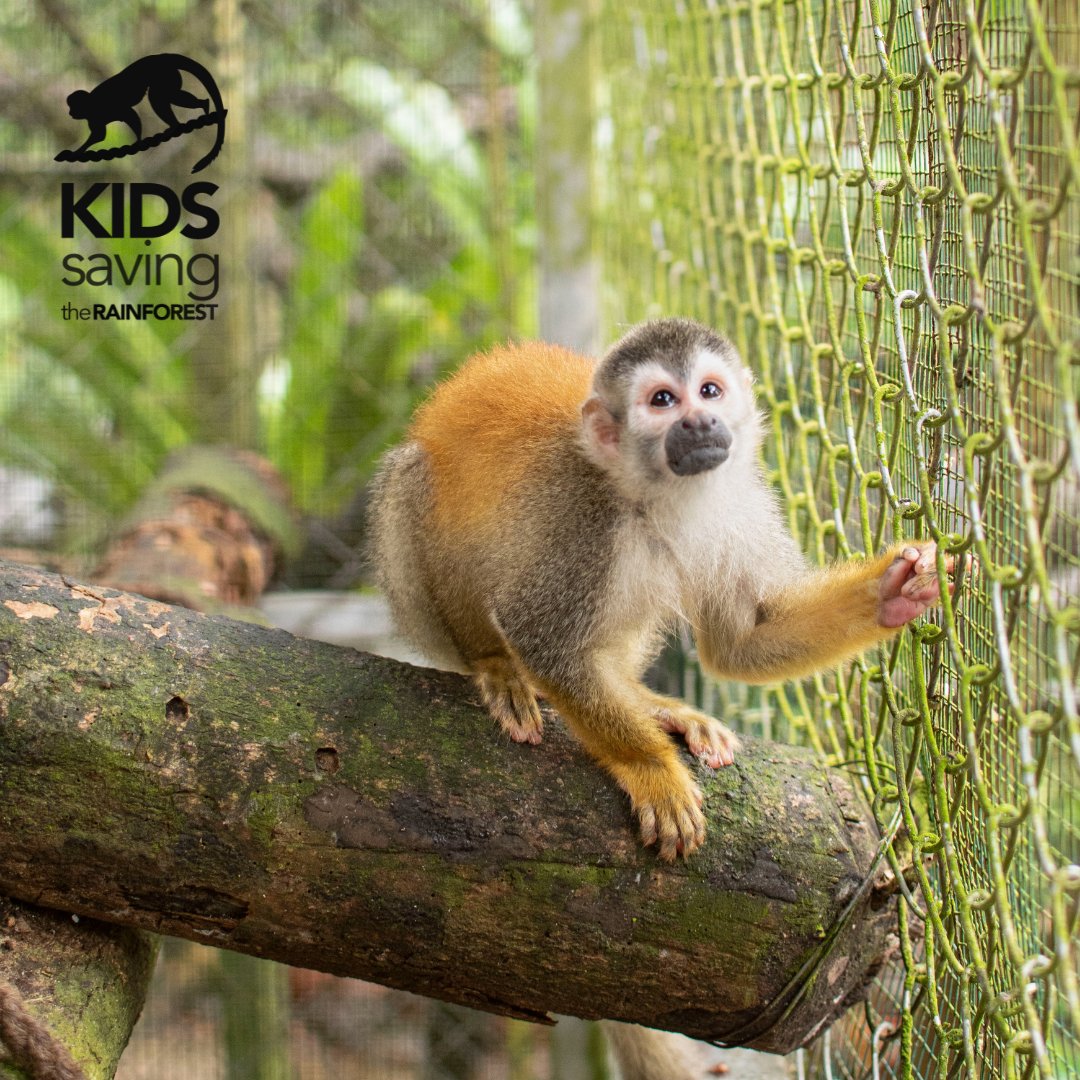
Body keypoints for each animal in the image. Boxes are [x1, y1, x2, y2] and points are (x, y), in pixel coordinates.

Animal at [62, 54, 225, 173]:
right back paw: (182, 121)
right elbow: (100, 134)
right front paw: (78, 151)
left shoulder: (106, 108)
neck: (91, 104)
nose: (69, 112)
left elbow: (128, 113)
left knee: (158, 96)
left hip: (165, 75)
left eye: (73, 106)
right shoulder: (93, 118)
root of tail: (159, 57)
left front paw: (138, 141)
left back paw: (202, 106)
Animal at [369, 318, 954, 862]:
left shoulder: (739, 503)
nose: (699, 421)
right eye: (663, 400)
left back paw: (643, 702)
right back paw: (495, 664)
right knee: (413, 479)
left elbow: (744, 642)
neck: (659, 493)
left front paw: (892, 592)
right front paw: (650, 768)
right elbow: (542, 639)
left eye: (709, 391)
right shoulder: (583, 518)